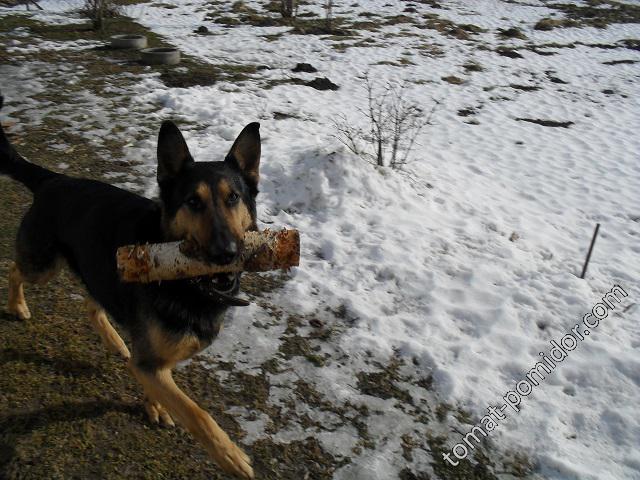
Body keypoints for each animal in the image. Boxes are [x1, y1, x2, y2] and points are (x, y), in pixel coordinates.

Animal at [1, 95, 260, 478]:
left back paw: (114, 341)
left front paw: (155, 406)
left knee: (91, 305)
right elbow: (197, 413)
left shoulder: (155, 361)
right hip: (42, 266)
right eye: (192, 202)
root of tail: (53, 180)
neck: (191, 285)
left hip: (101, 271)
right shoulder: (152, 363)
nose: (226, 253)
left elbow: (159, 383)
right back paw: (17, 306)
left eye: (234, 198)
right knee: (14, 269)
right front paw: (230, 456)